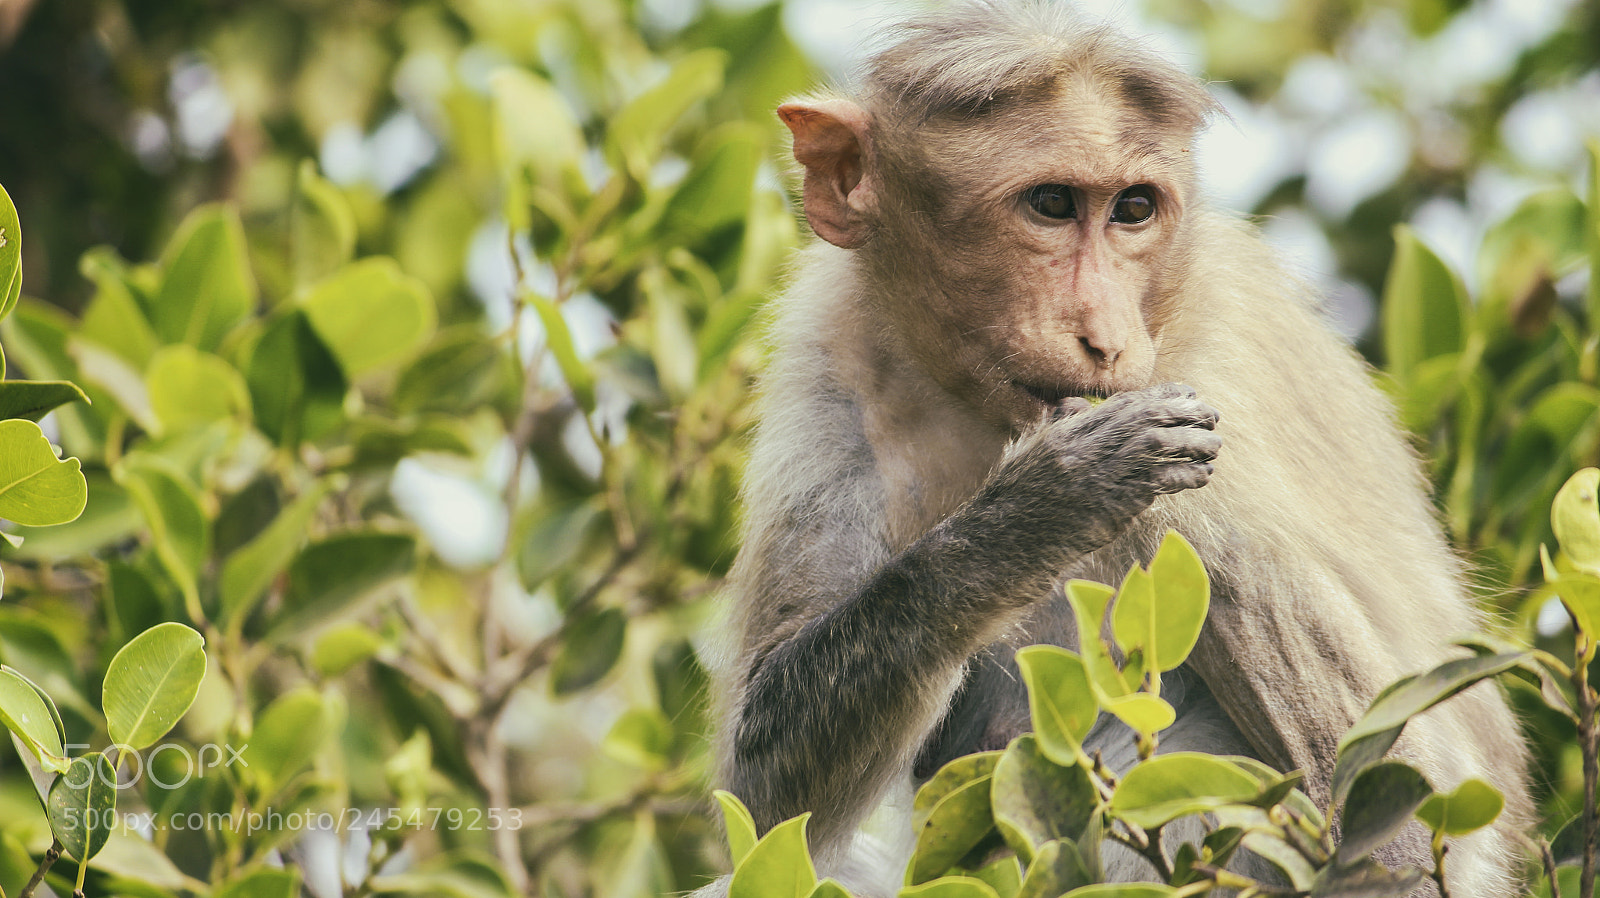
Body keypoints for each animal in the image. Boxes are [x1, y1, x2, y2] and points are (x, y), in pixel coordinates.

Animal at [704, 3, 1531, 895]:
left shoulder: (1206, 410)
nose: (1107, 338)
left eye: (1133, 209)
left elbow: (1403, 830)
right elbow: (766, 793)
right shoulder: (829, 362)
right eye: (1051, 203)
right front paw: (1048, 502)